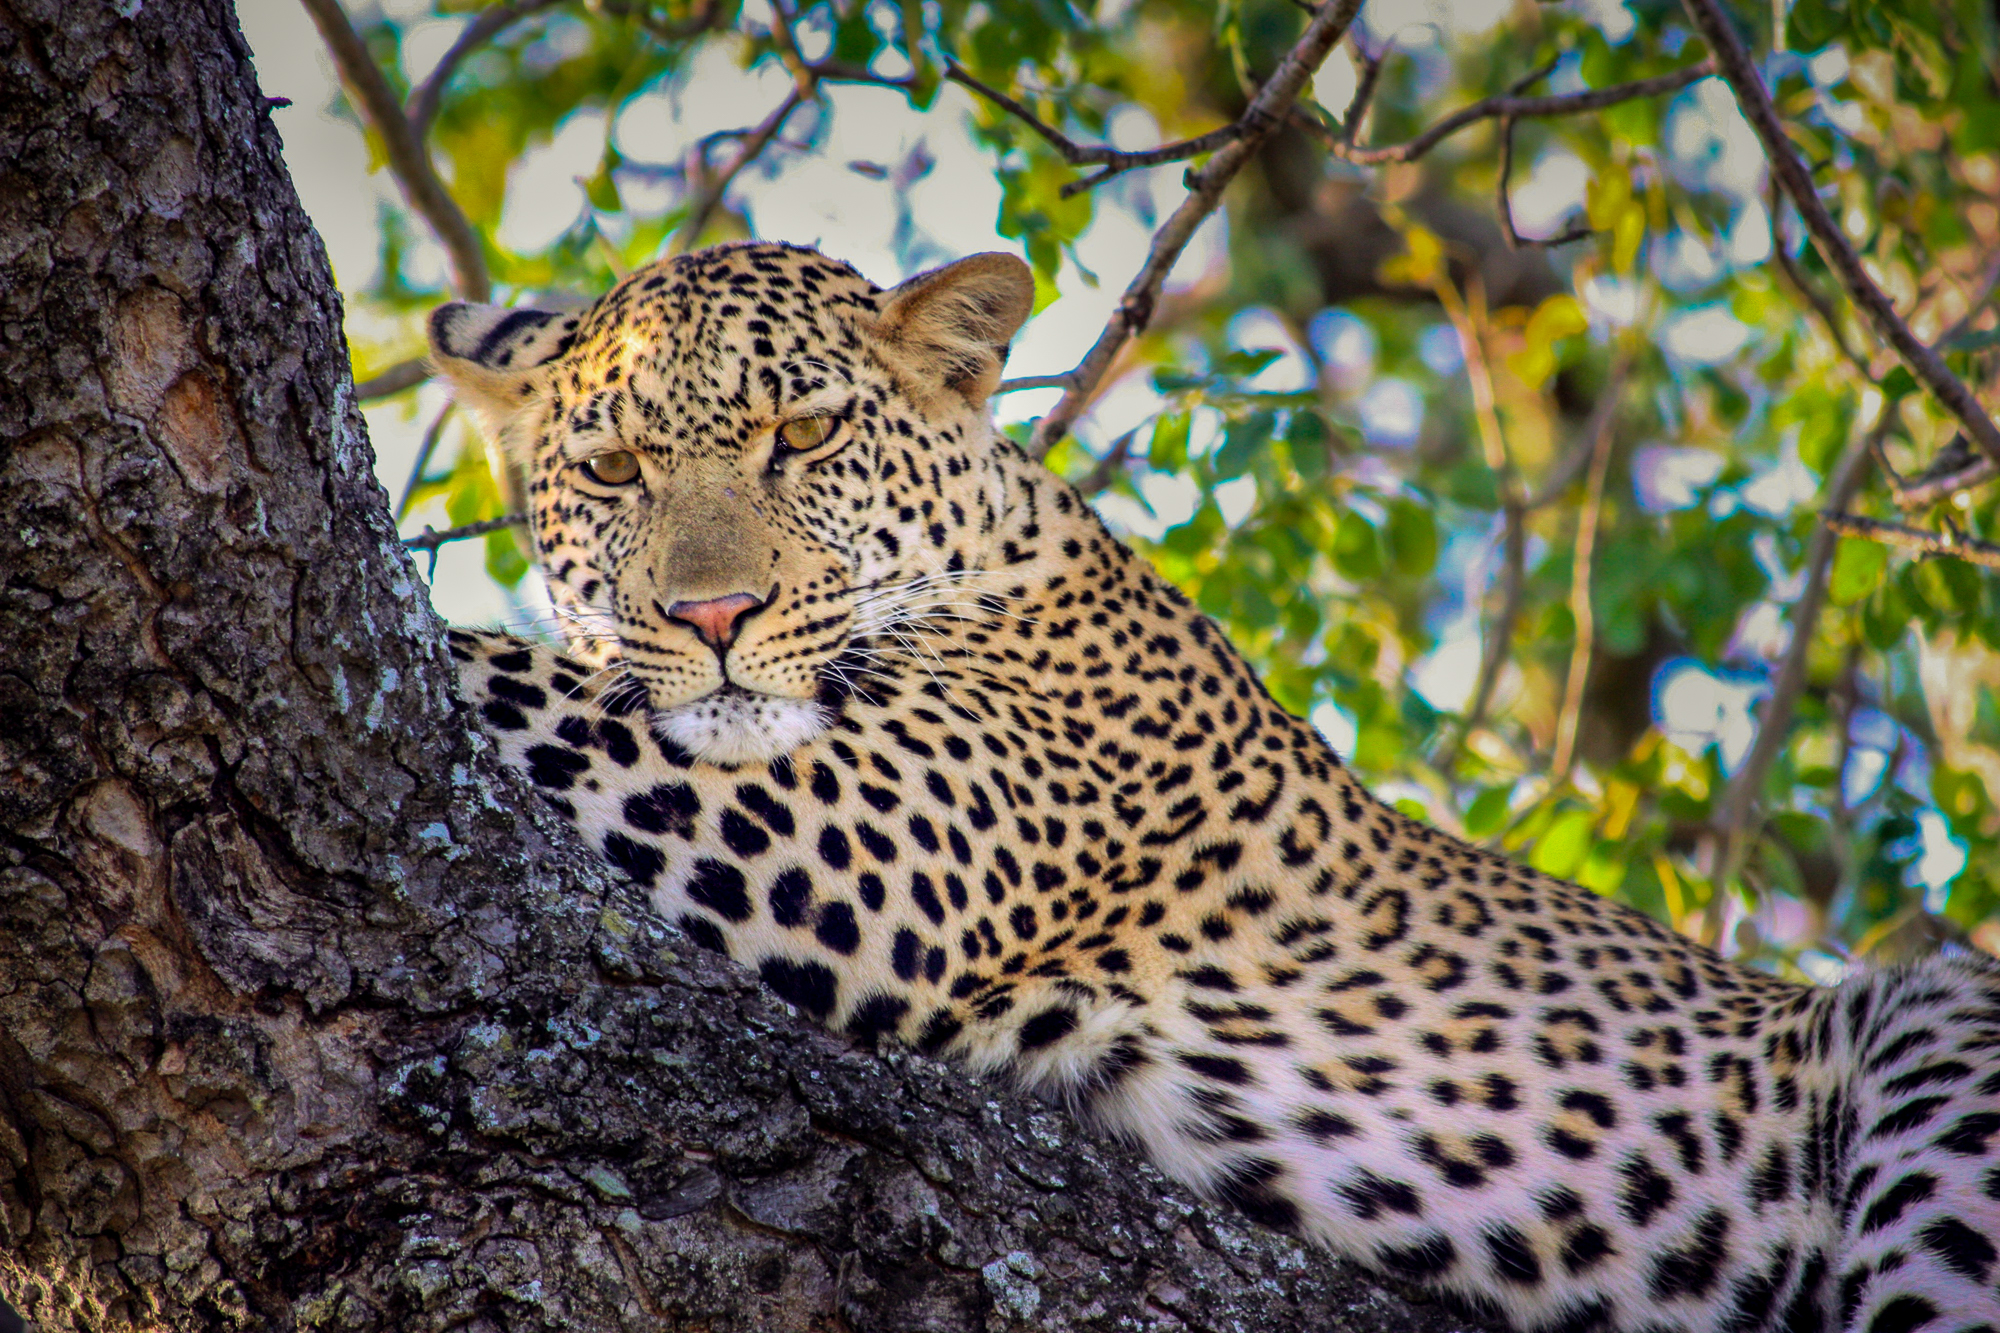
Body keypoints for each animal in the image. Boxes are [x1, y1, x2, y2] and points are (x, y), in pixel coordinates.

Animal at [425, 240, 2000, 1333]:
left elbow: (503, 674)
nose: (712, 616)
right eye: (612, 469)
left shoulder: (872, 839)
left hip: (1931, 1045)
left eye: (803, 436)